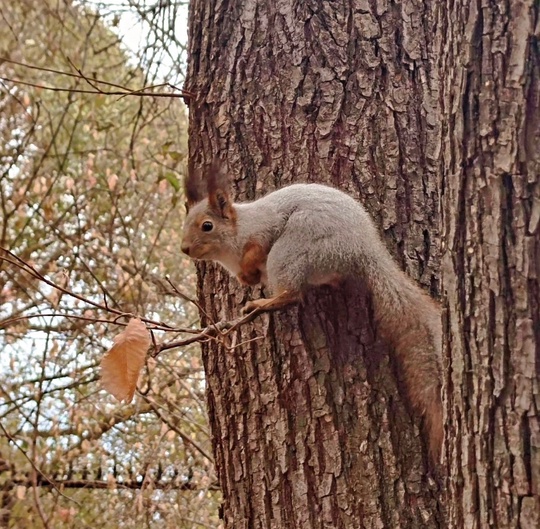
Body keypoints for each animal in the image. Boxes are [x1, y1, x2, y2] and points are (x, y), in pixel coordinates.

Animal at [181, 168, 442, 462]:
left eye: (207, 226)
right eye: (186, 221)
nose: (184, 248)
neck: (232, 242)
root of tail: (364, 251)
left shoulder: (263, 229)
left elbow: (257, 247)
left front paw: (249, 270)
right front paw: (247, 278)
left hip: (292, 250)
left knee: (292, 295)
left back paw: (264, 303)